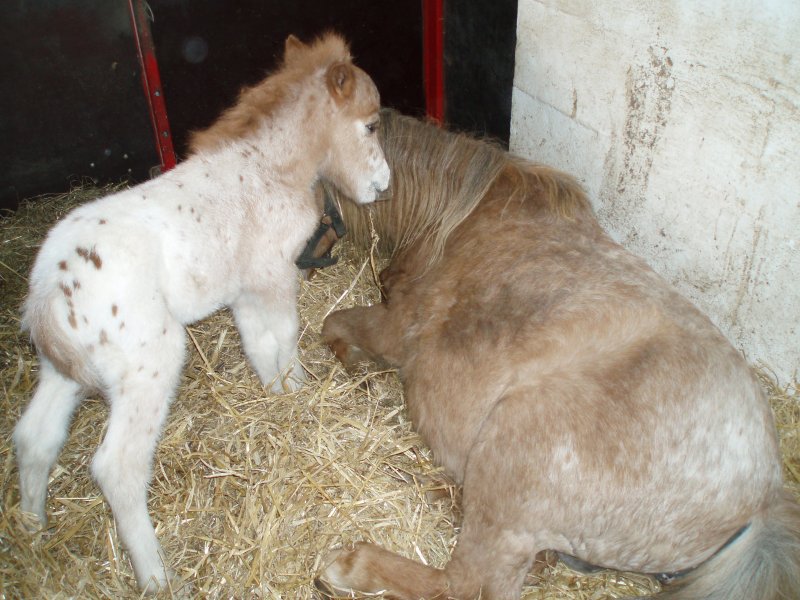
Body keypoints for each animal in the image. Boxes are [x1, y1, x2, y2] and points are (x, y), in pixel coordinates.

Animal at [13, 32, 389, 593]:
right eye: (370, 125)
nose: (382, 186)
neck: (266, 169)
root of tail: (50, 290)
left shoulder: (245, 290)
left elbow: (258, 344)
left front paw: (276, 395)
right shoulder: (274, 277)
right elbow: (285, 336)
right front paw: (298, 390)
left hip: (61, 369)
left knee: (35, 438)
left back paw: (31, 530)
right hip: (149, 366)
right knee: (117, 468)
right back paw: (156, 576)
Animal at [316, 109, 800, 600]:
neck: (453, 219)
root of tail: (756, 511)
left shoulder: (395, 330)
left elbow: (331, 324)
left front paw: (357, 363)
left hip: (512, 460)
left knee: (465, 584)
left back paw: (351, 568)